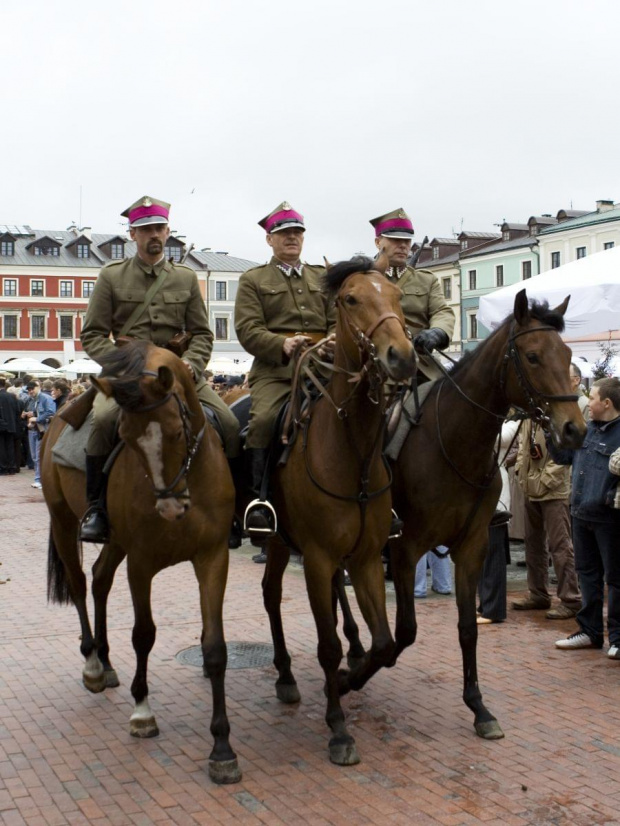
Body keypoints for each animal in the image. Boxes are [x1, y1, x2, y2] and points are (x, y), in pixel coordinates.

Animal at [40, 342, 241, 784]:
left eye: (177, 431)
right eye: (126, 439)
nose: (169, 508)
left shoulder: (213, 557)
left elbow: (215, 648)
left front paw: (222, 748)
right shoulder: (142, 562)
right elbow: (144, 635)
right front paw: (143, 712)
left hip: (115, 542)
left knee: (99, 579)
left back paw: (107, 661)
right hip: (63, 521)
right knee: (80, 584)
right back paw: (93, 664)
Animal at [256, 256, 416, 768]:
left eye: (397, 296)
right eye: (350, 299)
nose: (402, 356)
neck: (352, 451)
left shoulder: (363, 558)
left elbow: (385, 644)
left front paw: (349, 678)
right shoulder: (319, 556)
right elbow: (326, 647)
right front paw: (338, 728)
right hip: (277, 541)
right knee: (271, 595)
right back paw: (286, 675)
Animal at [336, 288, 584, 732]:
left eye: (568, 353)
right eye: (533, 356)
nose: (574, 429)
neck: (455, 441)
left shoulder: (473, 546)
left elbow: (468, 628)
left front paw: (478, 707)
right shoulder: (405, 548)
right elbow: (405, 631)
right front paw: (355, 676)